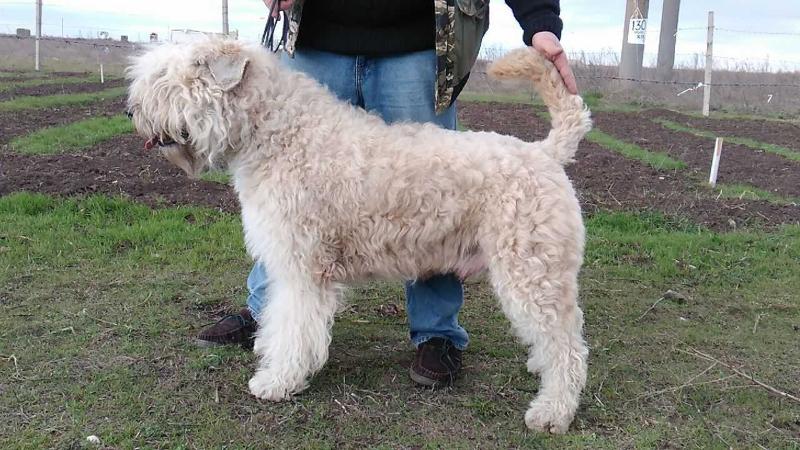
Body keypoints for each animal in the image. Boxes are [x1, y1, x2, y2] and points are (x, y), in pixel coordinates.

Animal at [126, 38, 592, 432]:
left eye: (172, 77)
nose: (131, 111)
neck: (278, 134)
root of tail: (545, 153)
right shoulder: (285, 262)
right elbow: (277, 318)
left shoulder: (303, 268)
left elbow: (293, 327)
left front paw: (277, 380)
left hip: (532, 272)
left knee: (567, 344)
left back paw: (552, 411)